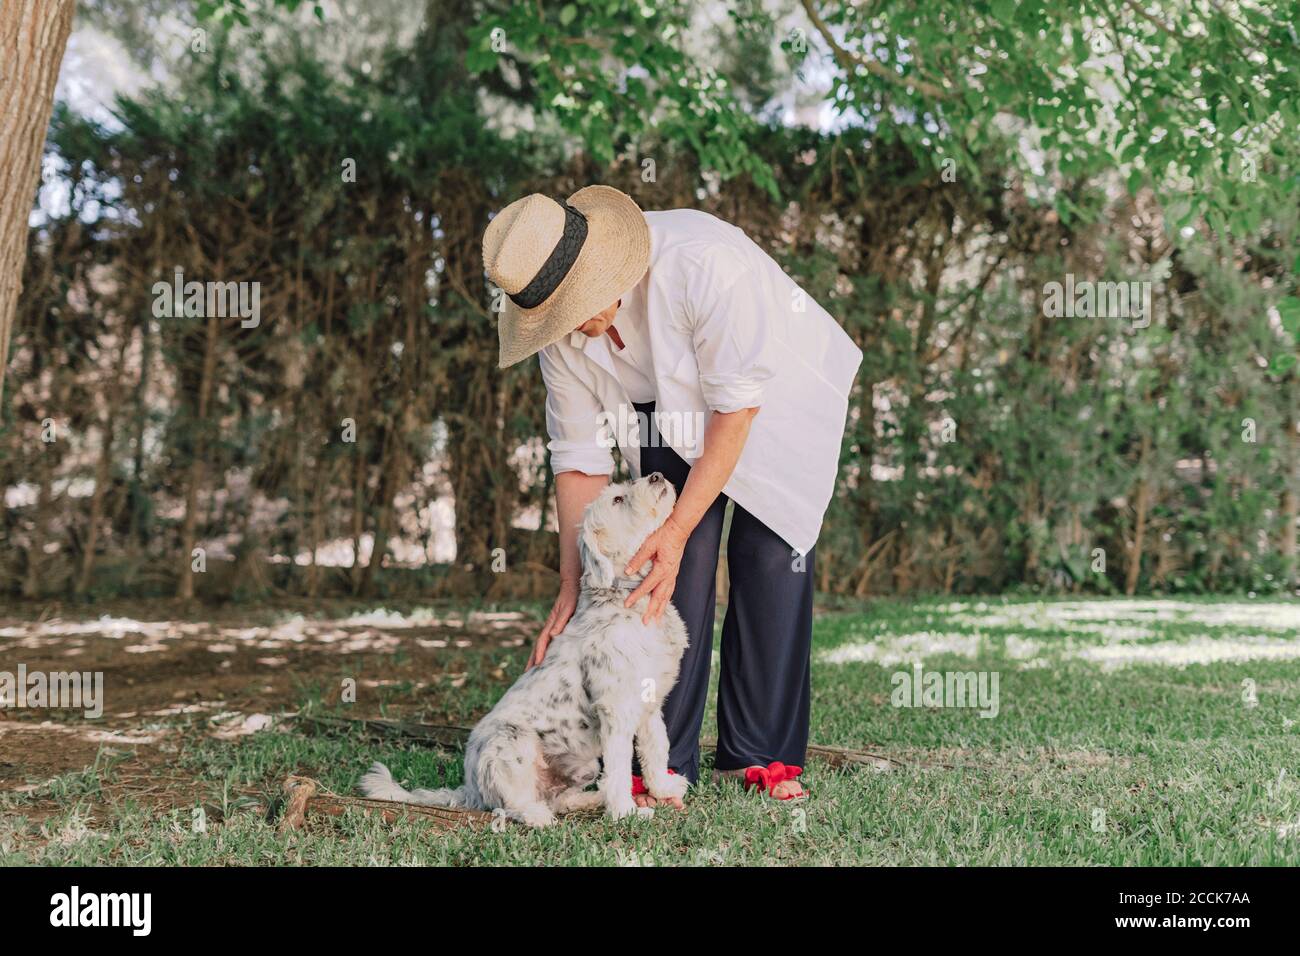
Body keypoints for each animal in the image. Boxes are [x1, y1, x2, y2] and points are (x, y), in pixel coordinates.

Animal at [356, 476, 691, 827]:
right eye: (617, 499)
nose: (656, 476)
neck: (626, 598)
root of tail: (470, 788)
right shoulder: (616, 710)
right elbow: (619, 769)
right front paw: (625, 812)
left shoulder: (651, 705)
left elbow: (656, 749)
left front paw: (663, 787)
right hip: (512, 742)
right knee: (513, 804)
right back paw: (538, 815)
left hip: (581, 766)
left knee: (561, 798)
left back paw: (589, 798)